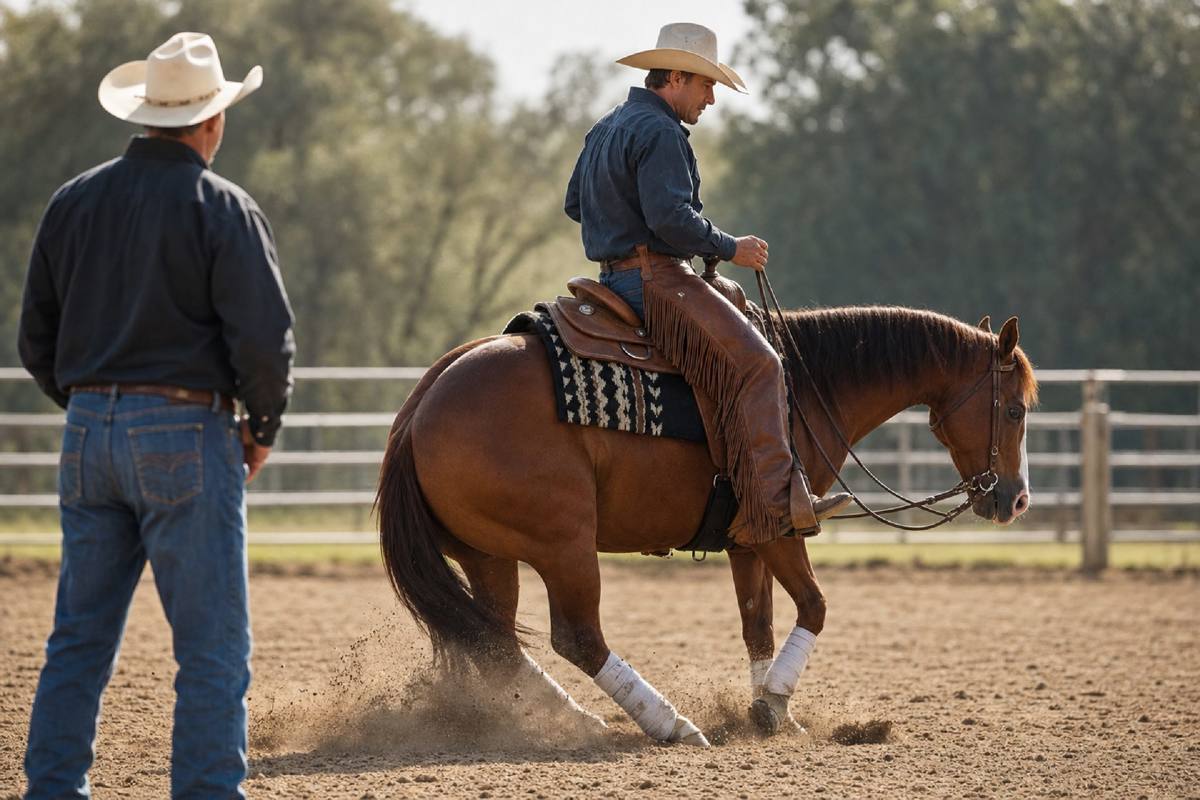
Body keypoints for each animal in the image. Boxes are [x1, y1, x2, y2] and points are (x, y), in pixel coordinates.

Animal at [376, 304, 1038, 746]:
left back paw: (570, 716)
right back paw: (668, 723)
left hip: (489, 556)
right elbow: (816, 606)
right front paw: (774, 703)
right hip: (563, 546)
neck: (803, 386)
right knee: (577, 637)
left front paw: (772, 711)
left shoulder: (749, 541)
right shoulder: (783, 528)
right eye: (1014, 408)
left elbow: (758, 626)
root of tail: (420, 407)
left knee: (495, 642)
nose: (1016, 500)